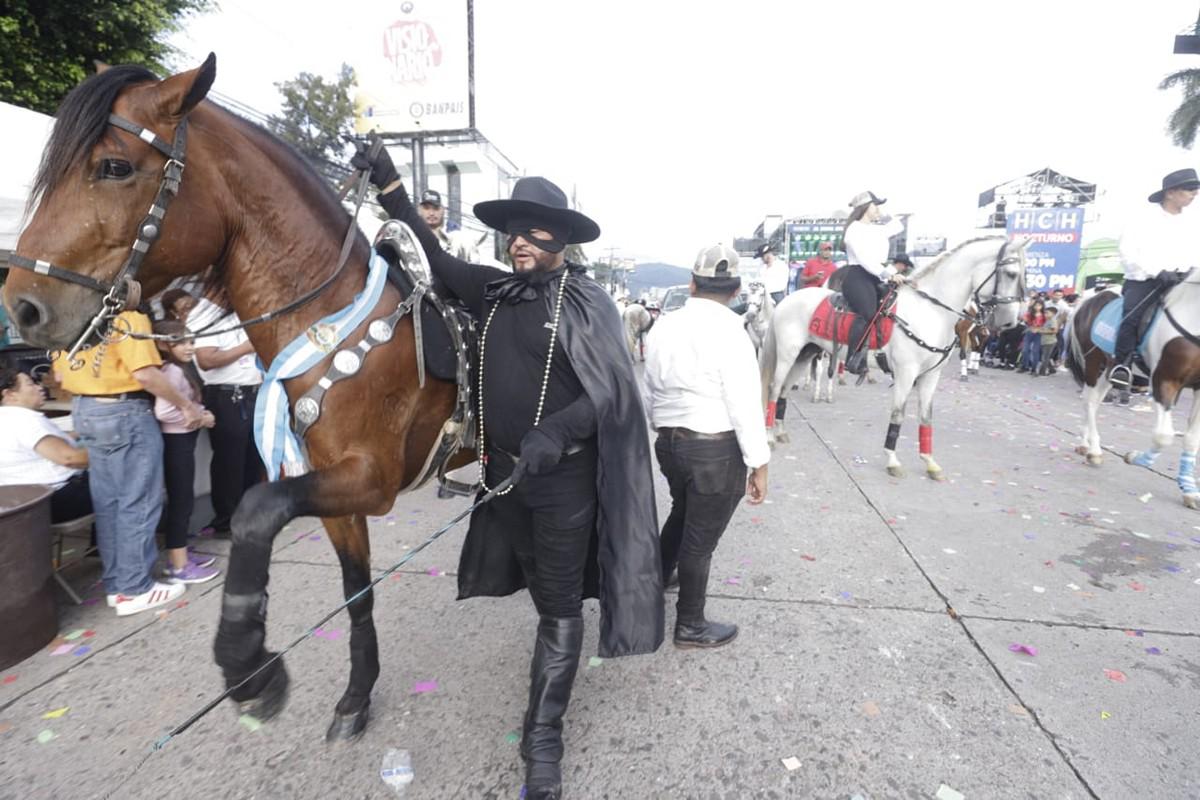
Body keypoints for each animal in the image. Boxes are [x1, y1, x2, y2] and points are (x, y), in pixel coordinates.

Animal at [2, 56, 465, 743]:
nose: (25, 306)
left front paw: (247, 661)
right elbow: (354, 588)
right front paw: (355, 694)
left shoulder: (372, 477)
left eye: (113, 166)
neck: (327, 323)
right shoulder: (330, 484)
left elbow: (250, 510)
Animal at [763, 235, 1027, 479]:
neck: (931, 311)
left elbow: (926, 416)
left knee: (784, 390)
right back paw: (769, 436)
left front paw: (930, 462)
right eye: (1011, 274)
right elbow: (898, 413)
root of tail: (787, 299)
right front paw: (892, 460)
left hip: (805, 354)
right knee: (775, 388)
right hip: (788, 354)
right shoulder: (906, 372)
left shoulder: (931, 375)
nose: (1010, 322)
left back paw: (780, 431)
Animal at [1065, 275, 1200, 506]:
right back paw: (1094, 451)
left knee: (1096, 398)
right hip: (1092, 359)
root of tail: (1091, 295)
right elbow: (1163, 436)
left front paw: (1189, 490)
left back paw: (1085, 443)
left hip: (1110, 365)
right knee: (1089, 400)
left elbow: (1192, 439)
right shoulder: (1164, 380)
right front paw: (1135, 457)